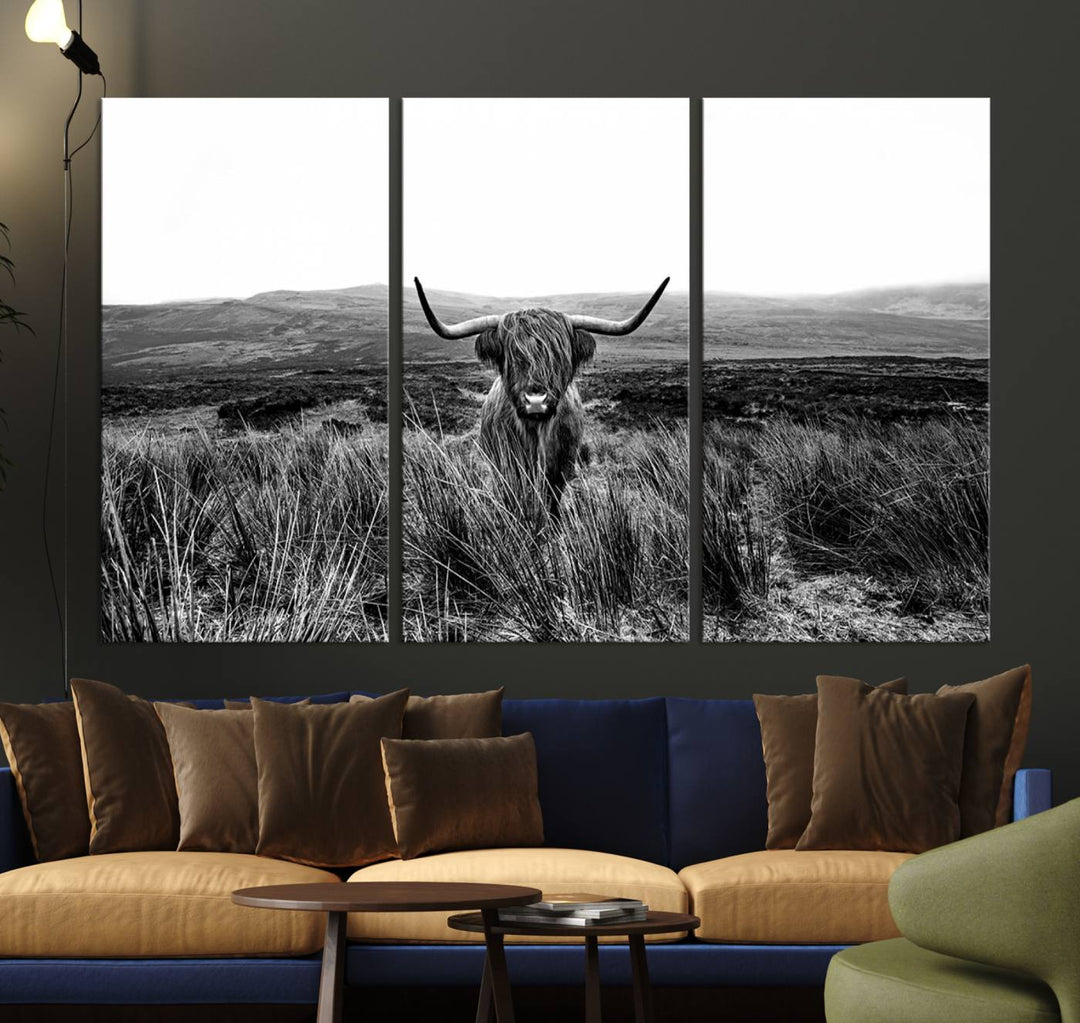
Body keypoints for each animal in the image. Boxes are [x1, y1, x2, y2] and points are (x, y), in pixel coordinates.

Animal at [412, 278, 665, 520]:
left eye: (559, 356)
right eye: (513, 356)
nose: (536, 400)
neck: (535, 433)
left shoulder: (561, 468)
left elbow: (551, 501)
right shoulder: (506, 466)